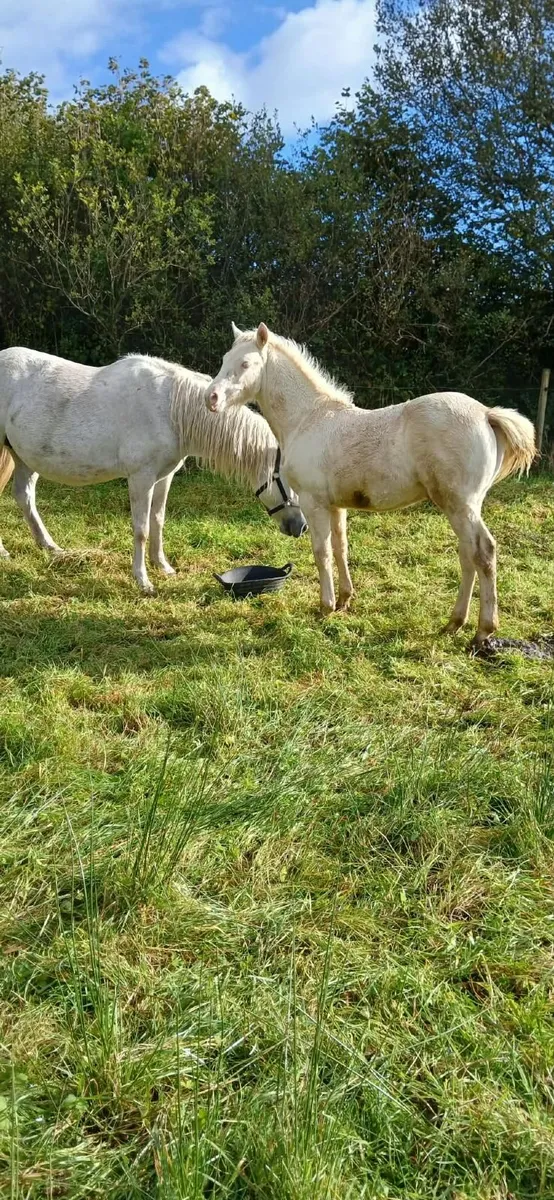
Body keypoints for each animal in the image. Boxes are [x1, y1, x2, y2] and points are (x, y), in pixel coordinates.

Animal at [0, 347, 307, 593]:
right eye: (289, 480)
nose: (301, 526)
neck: (170, 409)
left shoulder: (163, 477)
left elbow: (158, 520)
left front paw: (163, 566)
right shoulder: (141, 478)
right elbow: (141, 529)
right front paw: (143, 581)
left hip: (25, 458)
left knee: (24, 496)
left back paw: (49, 546)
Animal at [205, 322, 536, 645]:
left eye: (245, 363)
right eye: (224, 359)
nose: (212, 398)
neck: (309, 419)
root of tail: (486, 414)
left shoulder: (314, 503)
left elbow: (322, 553)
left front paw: (325, 608)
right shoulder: (337, 506)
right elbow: (341, 548)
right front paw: (344, 601)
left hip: (460, 505)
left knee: (483, 552)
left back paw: (482, 631)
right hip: (463, 507)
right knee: (468, 555)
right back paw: (453, 624)